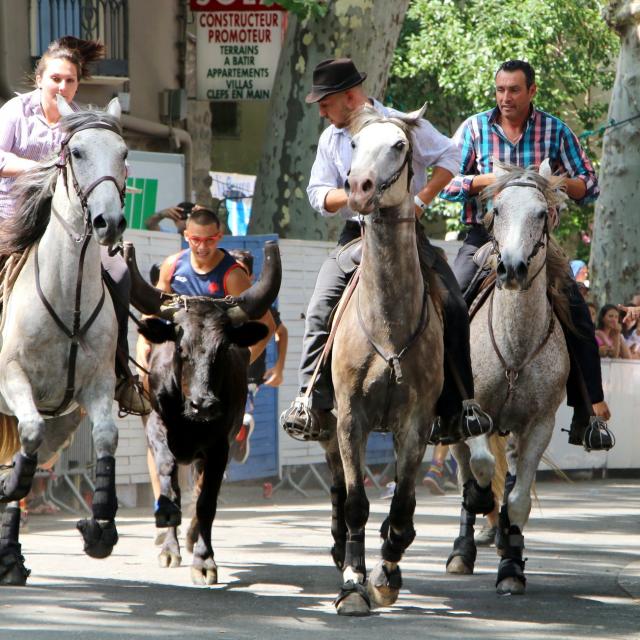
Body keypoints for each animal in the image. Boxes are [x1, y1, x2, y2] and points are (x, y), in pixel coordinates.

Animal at [0, 96, 126, 584]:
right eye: (77, 152)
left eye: (124, 152)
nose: (110, 221)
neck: (66, 292)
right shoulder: (12, 379)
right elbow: (27, 439)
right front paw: (10, 484)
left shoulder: (97, 387)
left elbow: (106, 437)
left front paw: (100, 530)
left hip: (61, 425)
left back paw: (10, 559)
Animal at [125, 241, 280, 584]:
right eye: (181, 349)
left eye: (222, 349)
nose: (204, 404)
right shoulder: (157, 428)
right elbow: (168, 477)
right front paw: (168, 535)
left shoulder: (219, 446)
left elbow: (206, 501)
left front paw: (204, 560)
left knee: (198, 494)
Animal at [444, 161, 568, 596]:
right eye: (496, 209)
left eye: (541, 213)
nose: (511, 268)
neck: (515, 348)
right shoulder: (473, 412)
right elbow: (481, 467)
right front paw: (480, 504)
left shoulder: (539, 424)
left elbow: (518, 501)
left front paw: (512, 566)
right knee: (466, 470)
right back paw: (463, 550)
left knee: (510, 479)